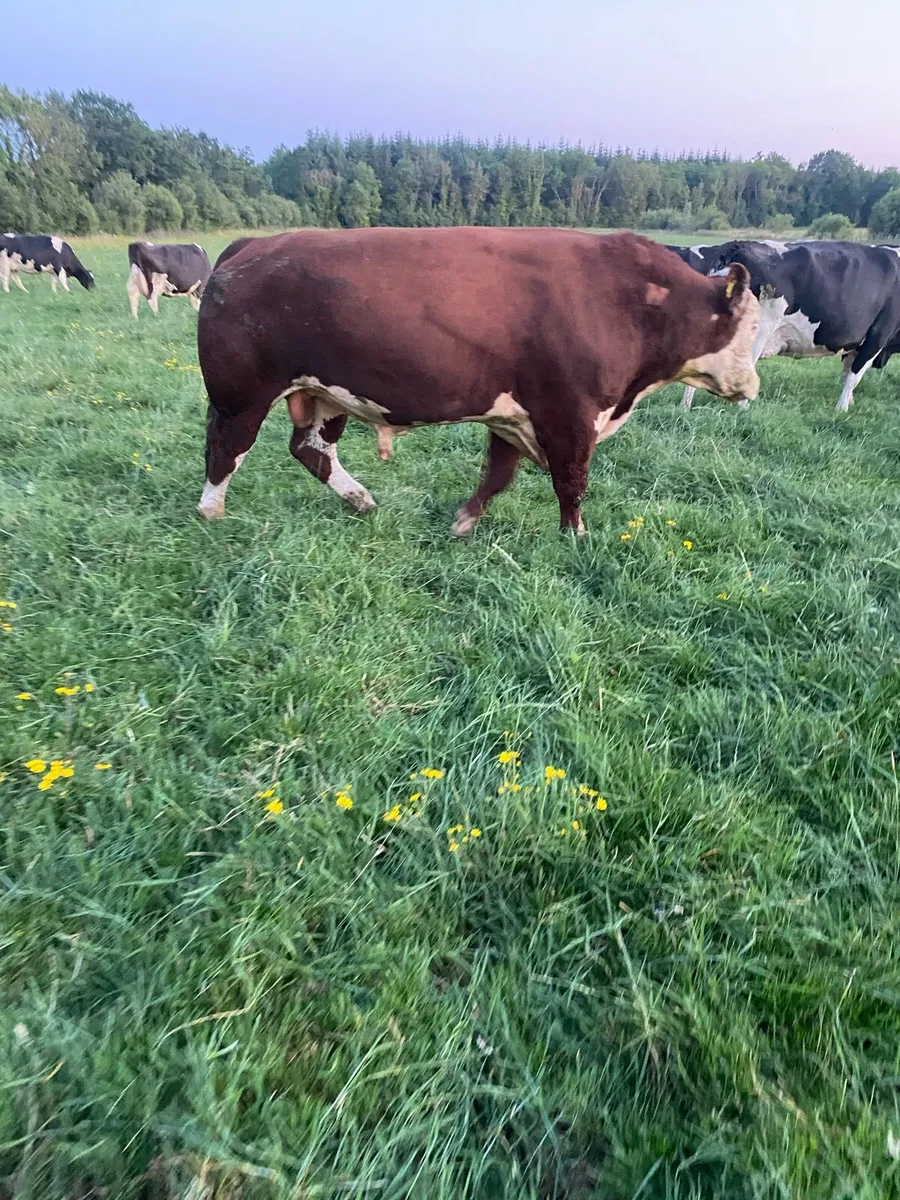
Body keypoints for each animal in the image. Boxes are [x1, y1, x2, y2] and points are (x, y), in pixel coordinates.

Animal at [196, 228, 760, 535]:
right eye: (752, 327)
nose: (752, 387)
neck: (638, 301)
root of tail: (250, 245)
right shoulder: (569, 413)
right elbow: (571, 481)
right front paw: (575, 537)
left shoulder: (512, 413)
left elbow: (498, 475)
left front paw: (465, 521)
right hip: (241, 395)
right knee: (226, 449)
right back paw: (211, 512)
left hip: (323, 394)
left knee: (311, 449)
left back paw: (360, 499)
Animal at [695, 240, 900, 412]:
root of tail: (737, 247)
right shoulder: (877, 337)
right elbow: (853, 377)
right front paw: (841, 410)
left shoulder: (855, 346)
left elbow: (846, 373)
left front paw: (849, 403)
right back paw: (743, 410)